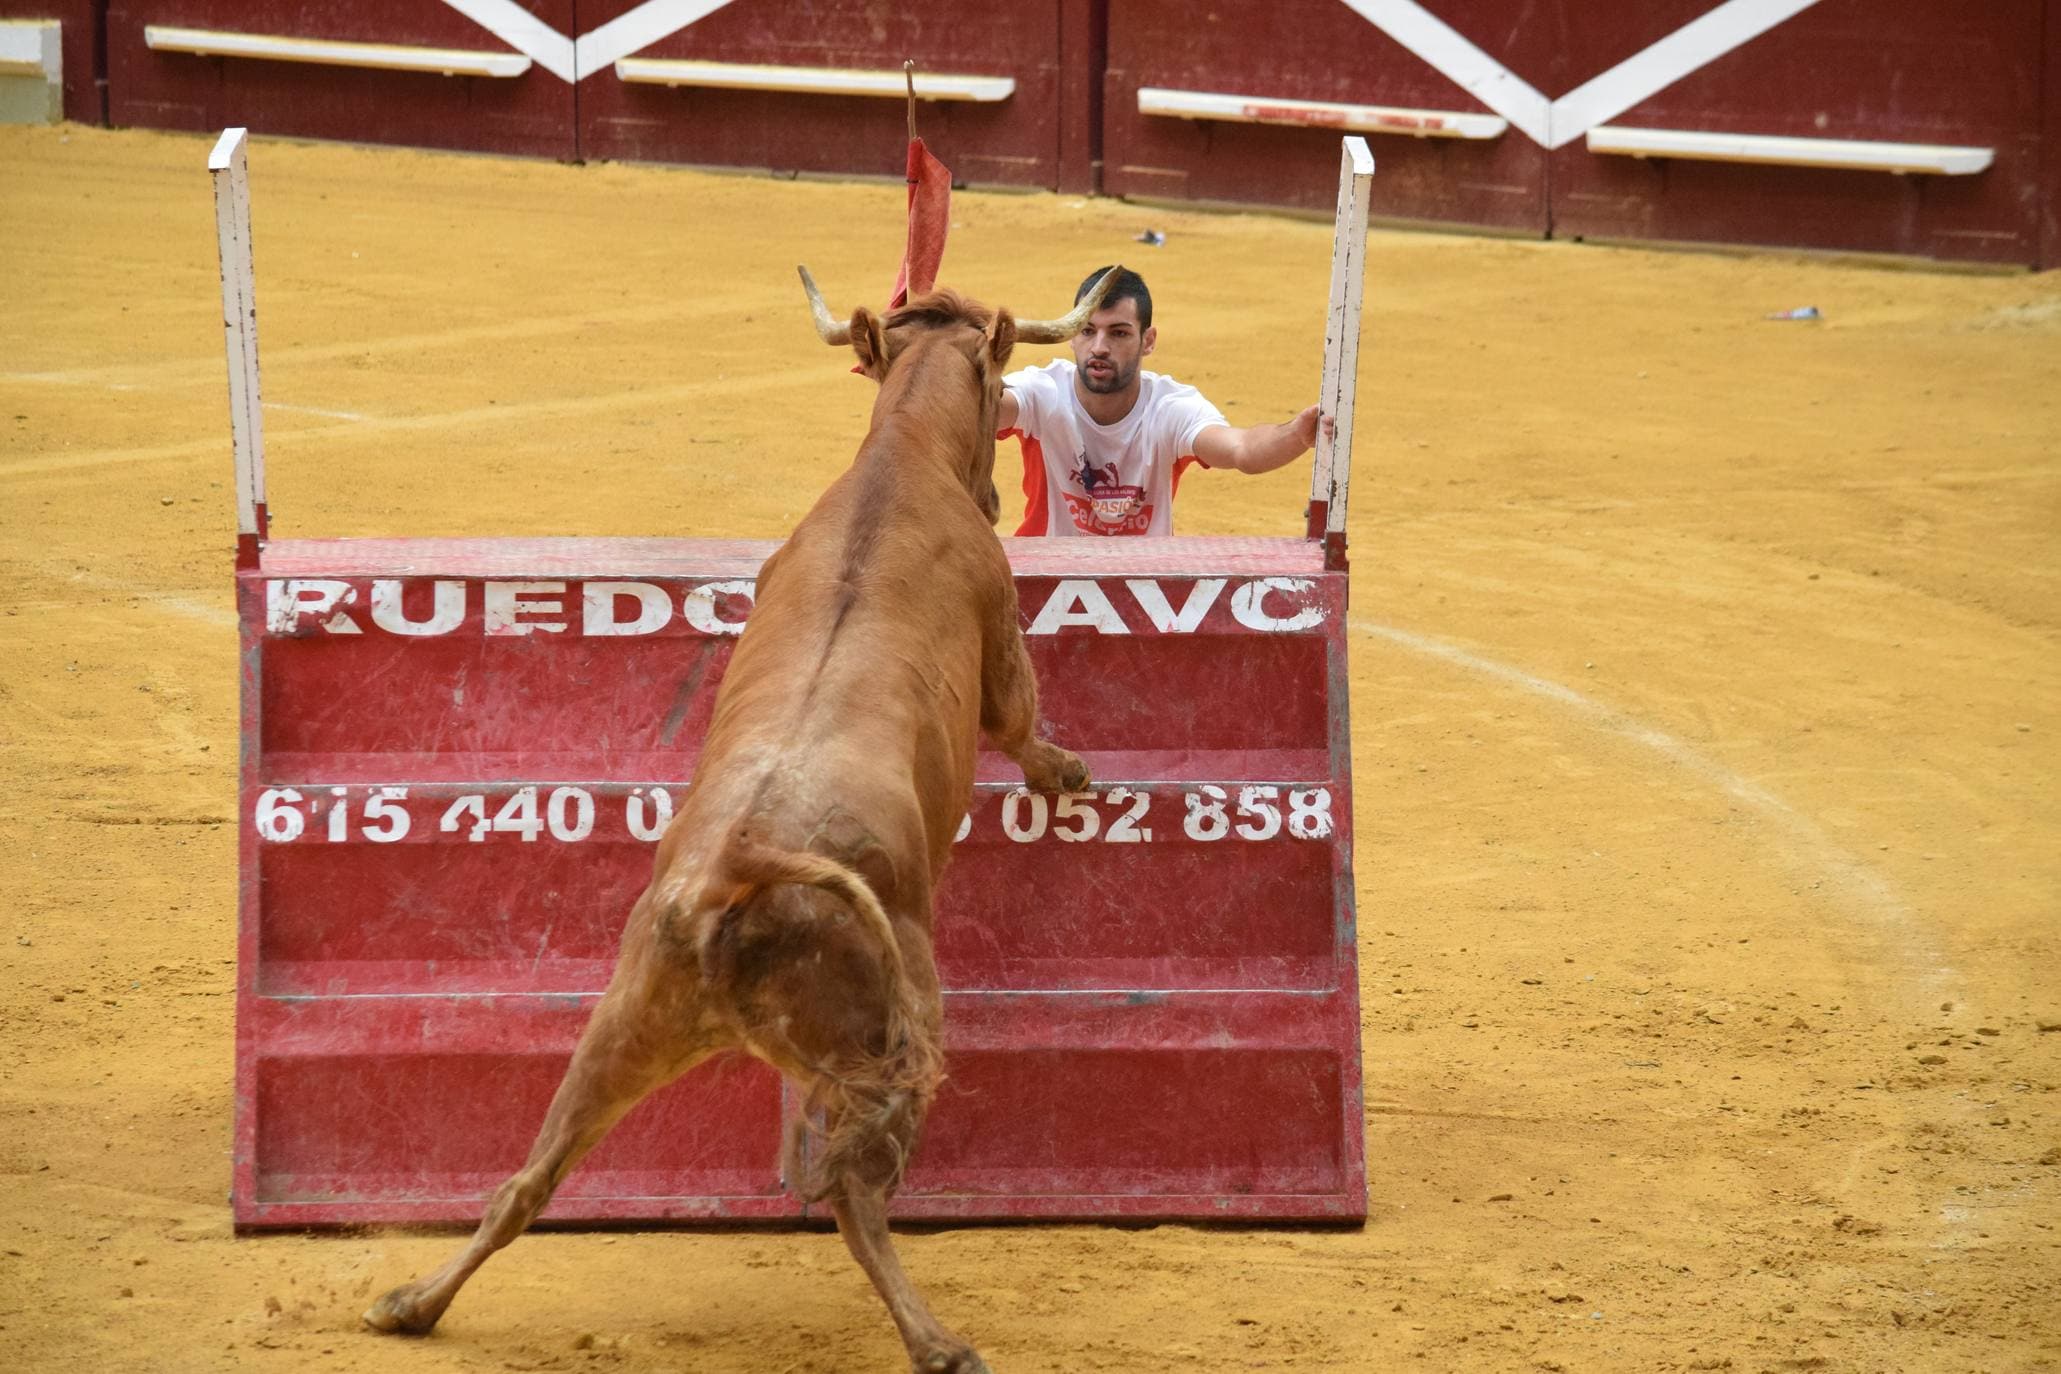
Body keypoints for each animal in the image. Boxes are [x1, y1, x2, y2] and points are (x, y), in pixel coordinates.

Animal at [362, 267, 1121, 1374]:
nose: (993, 493)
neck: (899, 460)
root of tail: (733, 876)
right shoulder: (1001, 640)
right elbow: (1021, 721)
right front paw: (1066, 771)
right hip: (890, 1032)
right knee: (854, 1193)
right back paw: (938, 1342)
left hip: (626, 1023)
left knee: (526, 1179)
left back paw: (412, 1304)